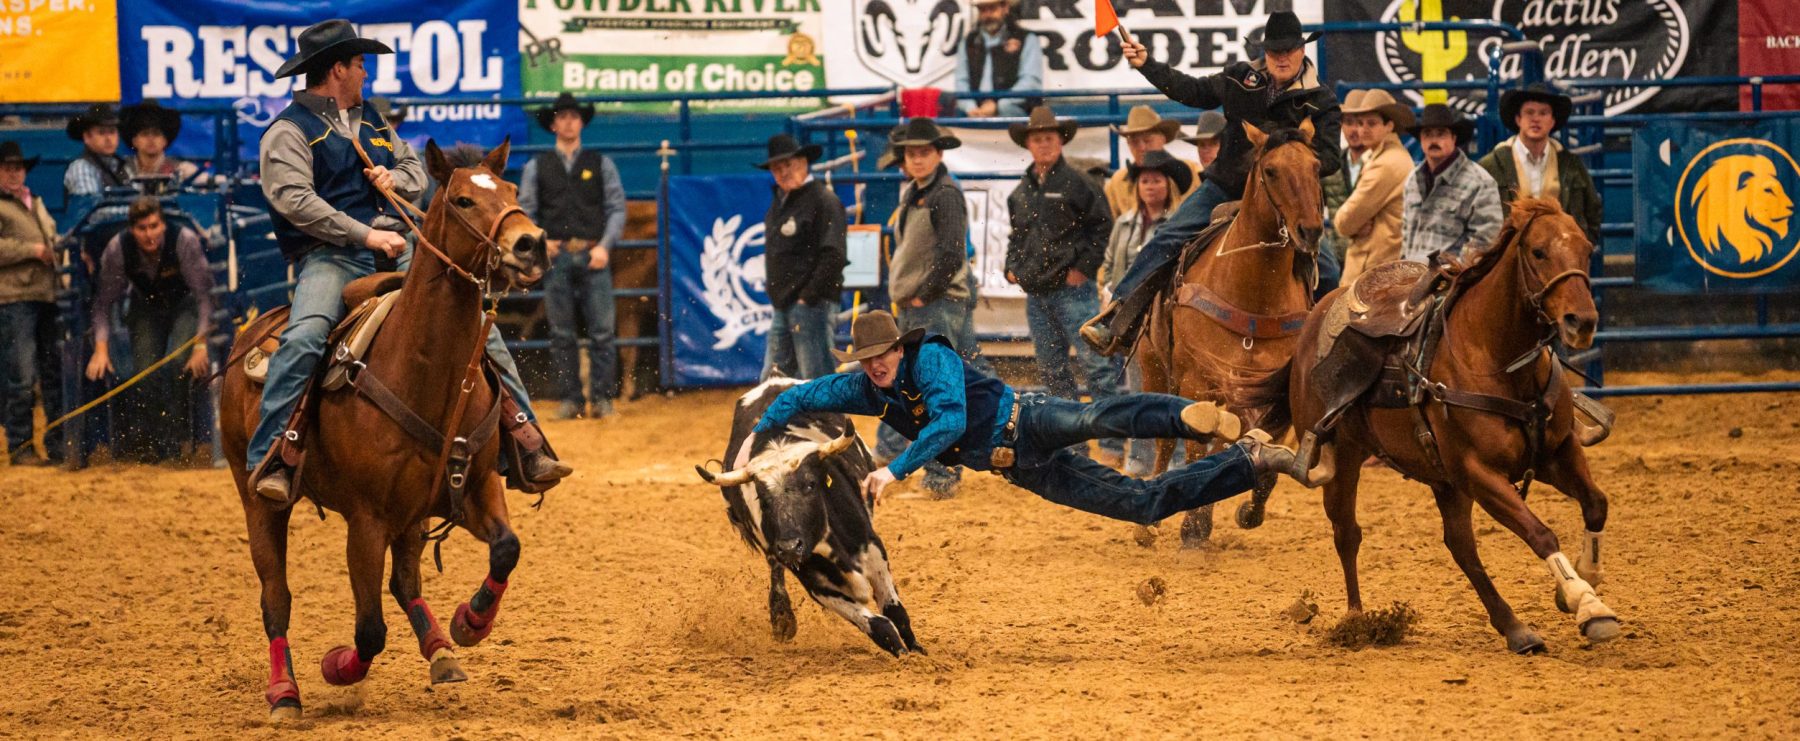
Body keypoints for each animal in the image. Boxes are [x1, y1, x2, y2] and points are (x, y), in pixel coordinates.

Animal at [216, 142, 543, 719]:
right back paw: (285, 692)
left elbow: (507, 548)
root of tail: (250, 332)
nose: (530, 244)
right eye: (462, 200)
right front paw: (338, 667)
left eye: (510, 191)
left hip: (412, 514)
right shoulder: (365, 519)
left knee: (405, 579)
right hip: (255, 496)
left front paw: (470, 623)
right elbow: (369, 629)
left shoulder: (474, 486)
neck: (426, 370)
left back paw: (441, 651)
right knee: (276, 597)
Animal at [1137, 121, 1324, 546]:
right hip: (1153, 366)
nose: (1310, 230)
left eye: (1317, 166)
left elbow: (1261, 455)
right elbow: (1193, 449)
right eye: (1271, 170)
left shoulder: (1274, 394)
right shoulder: (1196, 384)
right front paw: (1192, 527)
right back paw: (1147, 527)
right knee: (1165, 442)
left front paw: (1246, 513)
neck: (1254, 294)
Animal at [1288, 197, 1627, 654]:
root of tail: (1318, 314)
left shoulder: (1558, 452)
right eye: (1538, 252)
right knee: (1348, 534)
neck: (1496, 360)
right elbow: (1540, 533)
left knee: (1460, 545)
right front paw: (1587, 604)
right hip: (1344, 459)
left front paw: (1584, 580)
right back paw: (1357, 621)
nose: (1582, 321)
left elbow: (1596, 504)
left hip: (1444, 480)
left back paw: (1514, 627)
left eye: (1587, 248)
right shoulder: (1479, 472)